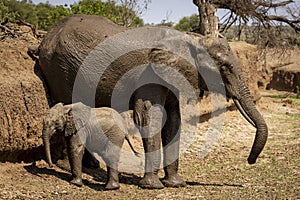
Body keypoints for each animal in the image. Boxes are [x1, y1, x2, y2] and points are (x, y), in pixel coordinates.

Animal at [34, 14, 268, 189]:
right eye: (224, 68)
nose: (250, 160)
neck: (192, 39)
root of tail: (45, 38)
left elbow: (173, 120)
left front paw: (175, 183)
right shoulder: (149, 75)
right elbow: (149, 117)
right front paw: (153, 186)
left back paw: (91, 165)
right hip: (60, 68)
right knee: (68, 104)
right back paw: (68, 167)